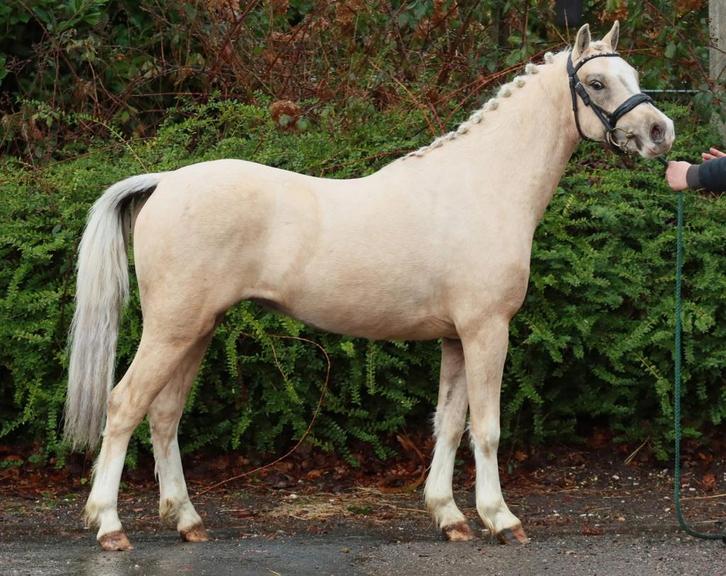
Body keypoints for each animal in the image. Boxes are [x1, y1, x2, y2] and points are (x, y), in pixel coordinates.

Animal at [64, 22, 674, 550]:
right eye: (597, 83)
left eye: (634, 73)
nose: (660, 132)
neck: (482, 185)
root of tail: (165, 182)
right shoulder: (486, 331)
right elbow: (487, 429)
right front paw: (500, 519)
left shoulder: (456, 338)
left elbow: (448, 424)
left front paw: (450, 517)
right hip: (172, 330)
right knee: (124, 405)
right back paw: (110, 526)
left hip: (197, 330)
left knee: (164, 414)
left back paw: (187, 521)